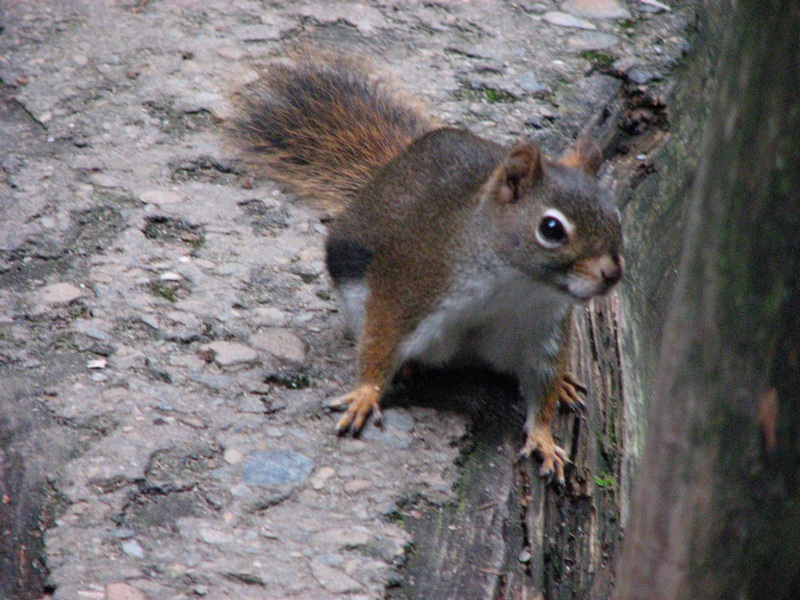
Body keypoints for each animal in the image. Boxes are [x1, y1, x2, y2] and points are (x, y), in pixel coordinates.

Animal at [231, 49, 624, 486]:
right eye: (551, 229)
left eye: (616, 216)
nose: (612, 274)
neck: (516, 286)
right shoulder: (411, 287)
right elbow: (380, 341)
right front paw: (365, 394)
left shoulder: (543, 331)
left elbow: (544, 384)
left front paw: (543, 437)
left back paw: (568, 384)